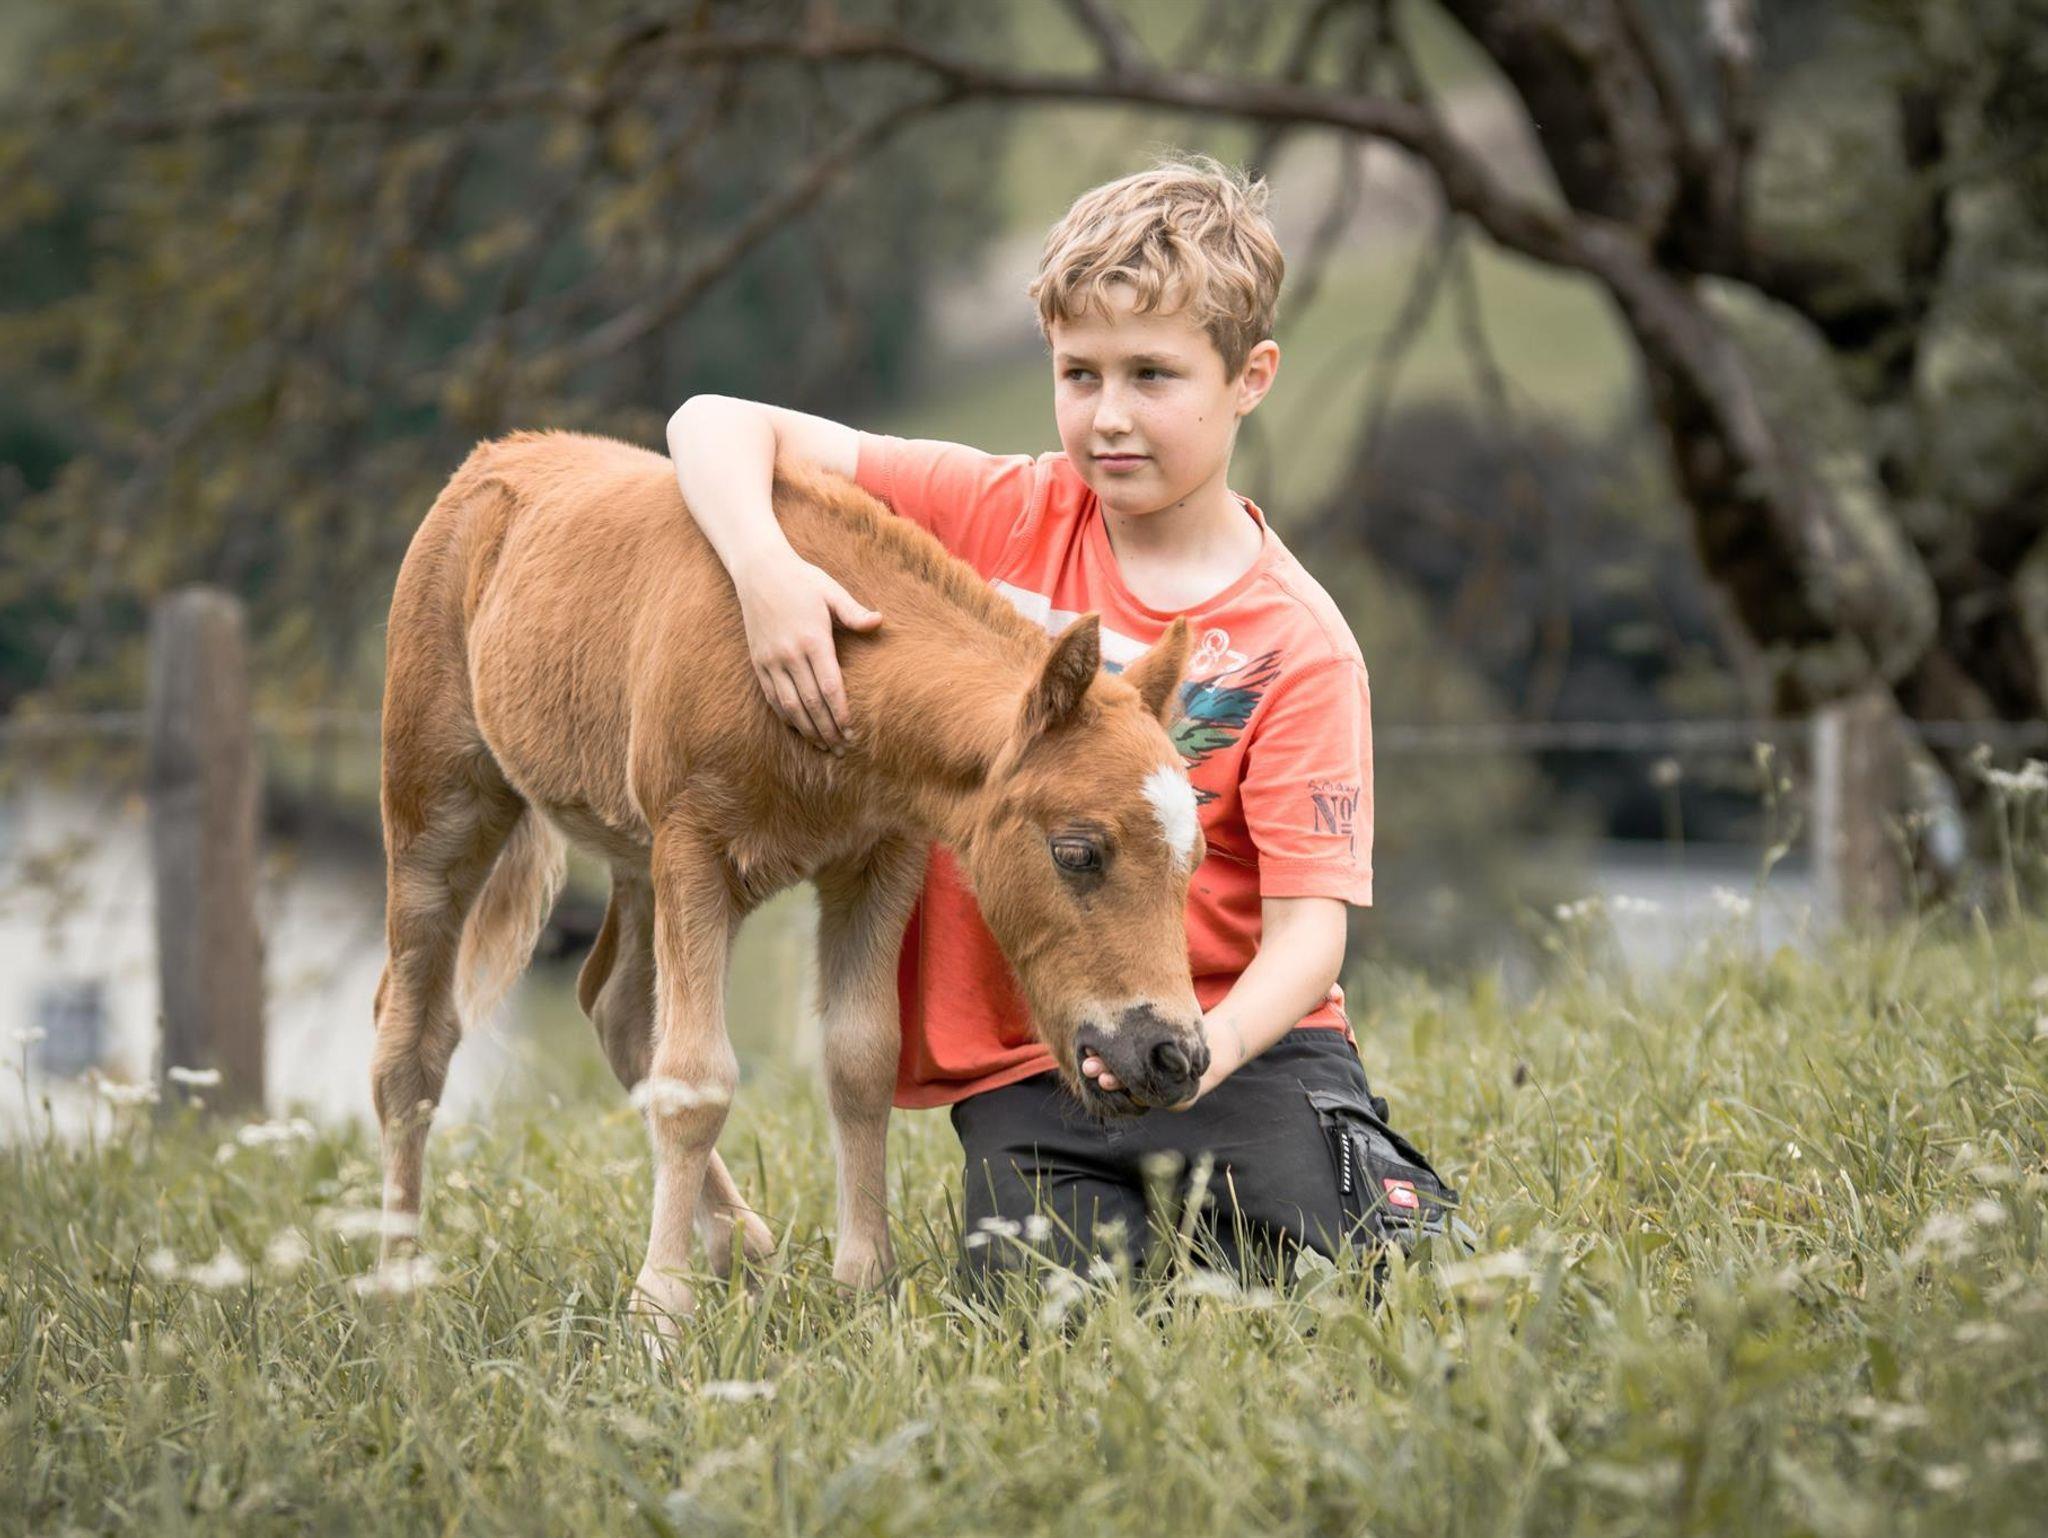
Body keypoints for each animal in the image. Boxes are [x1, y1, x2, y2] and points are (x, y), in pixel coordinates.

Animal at [372, 429, 1208, 1332]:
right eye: (1077, 852)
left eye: (1193, 861)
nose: (1171, 1056)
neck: (827, 676)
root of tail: (497, 456)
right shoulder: (695, 849)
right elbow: (697, 1081)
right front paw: (659, 1314)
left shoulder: (879, 857)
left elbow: (861, 1059)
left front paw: (864, 1290)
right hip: (442, 801)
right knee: (412, 1038)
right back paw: (399, 1291)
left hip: (633, 852)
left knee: (616, 1007)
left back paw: (741, 1242)